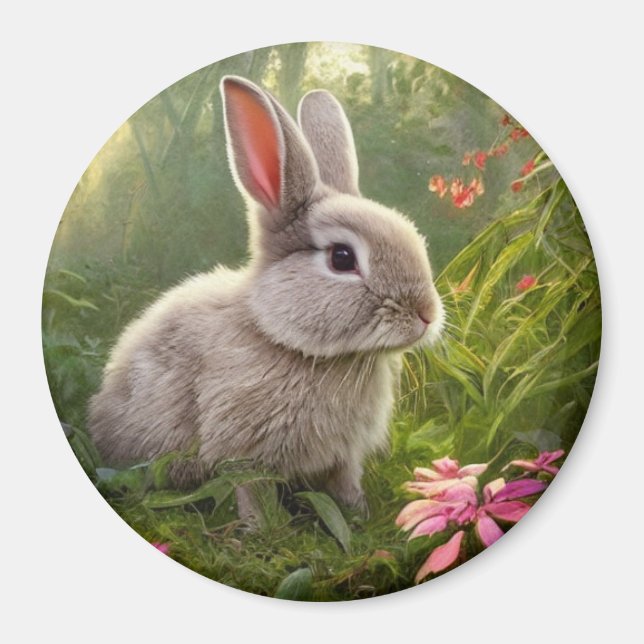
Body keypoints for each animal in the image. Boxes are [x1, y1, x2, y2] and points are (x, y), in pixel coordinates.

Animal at [88, 75, 444, 513]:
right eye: (342, 258)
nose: (426, 315)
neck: (288, 342)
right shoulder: (242, 451)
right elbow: (252, 494)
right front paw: (258, 526)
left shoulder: (346, 455)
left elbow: (345, 483)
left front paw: (359, 513)